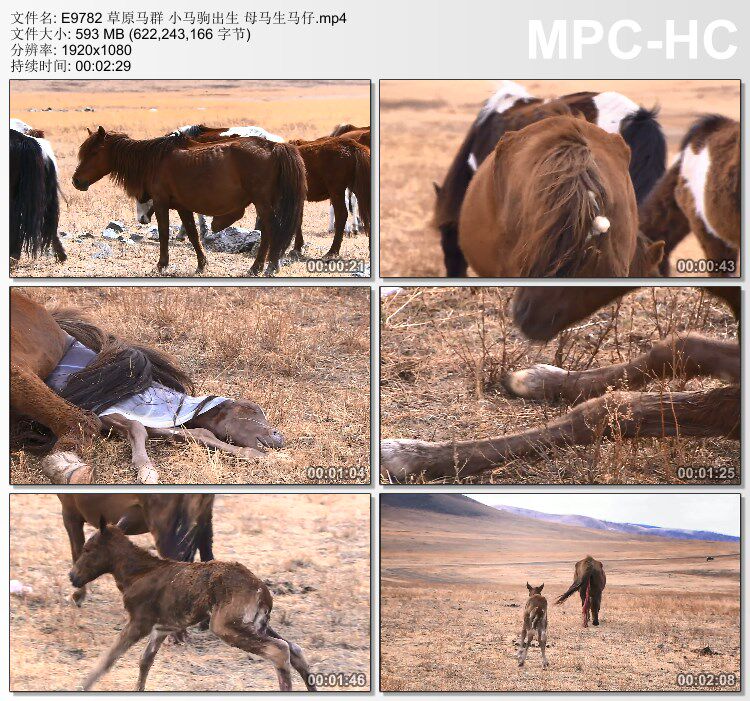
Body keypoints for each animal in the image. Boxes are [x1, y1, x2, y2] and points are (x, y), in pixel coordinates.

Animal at [11, 290, 283, 484]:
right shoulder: (111, 413)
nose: (278, 435)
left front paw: (254, 456)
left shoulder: (153, 419)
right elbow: (137, 428)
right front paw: (146, 468)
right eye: (250, 409)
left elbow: (196, 433)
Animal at [58, 494, 215, 606]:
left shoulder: (70, 514)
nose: (72, 576)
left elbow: (76, 551)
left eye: (88, 550)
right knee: (207, 557)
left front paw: (78, 596)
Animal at [70, 518, 316, 691]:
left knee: (279, 650)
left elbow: (108, 658)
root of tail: (263, 592)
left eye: (88, 549)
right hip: (257, 624)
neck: (135, 574)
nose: (73, 576)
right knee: (295, 648)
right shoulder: (162, 628)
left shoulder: (140, 621)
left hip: (225, 625)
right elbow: (145, 661)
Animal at [73, 126, 306, 276]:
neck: (154, 160)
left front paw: (161, 265)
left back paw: (262, 266)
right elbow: (193, 234)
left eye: (94, 152)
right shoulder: (182, 207)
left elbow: (164, 234)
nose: (76, 181)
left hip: (262, 202)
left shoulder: (161, 203)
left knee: (270, 230)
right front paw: (202, 264)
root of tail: (274, 147)